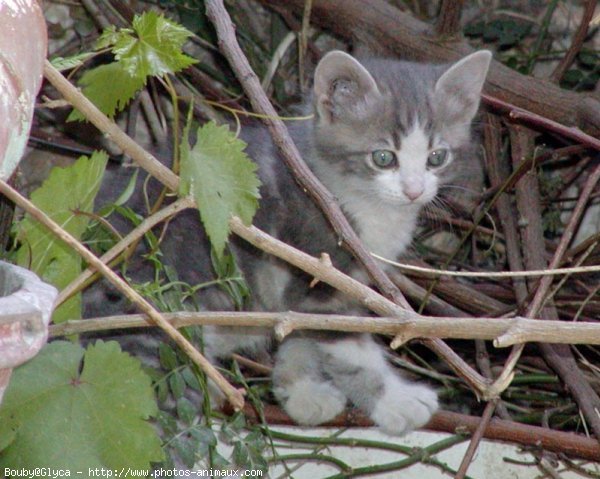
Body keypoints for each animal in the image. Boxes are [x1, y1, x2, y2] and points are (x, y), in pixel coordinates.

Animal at [86, 50, 494, 436]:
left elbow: (300, 330)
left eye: (437, 157)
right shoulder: (321, 275)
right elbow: (351, 350)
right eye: (383, 158)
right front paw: (394, 400)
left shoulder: (314, 288)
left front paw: (300, 390)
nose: (413, 190)